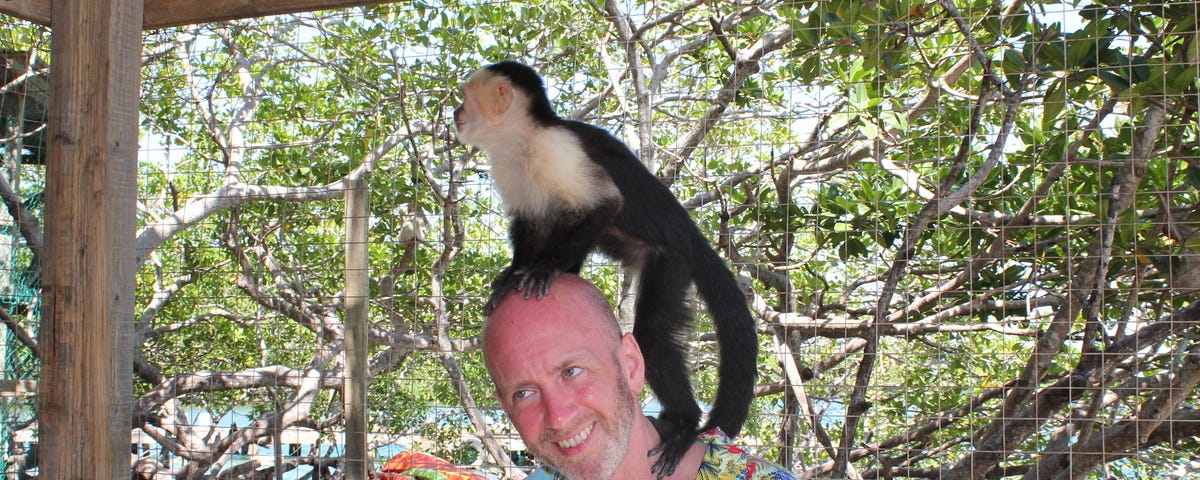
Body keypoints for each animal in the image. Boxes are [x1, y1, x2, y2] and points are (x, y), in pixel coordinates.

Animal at [453, 61, 753, 477]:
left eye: (464, 99)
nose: (455, 115)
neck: (522, 140)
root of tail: (688, 230)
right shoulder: (510, 168)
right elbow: (530, 223)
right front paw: (512, 276)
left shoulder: (557, 149)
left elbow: (605, 204)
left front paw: (544, 269)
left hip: (673, 259)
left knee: (652, 337)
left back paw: (684, 425)